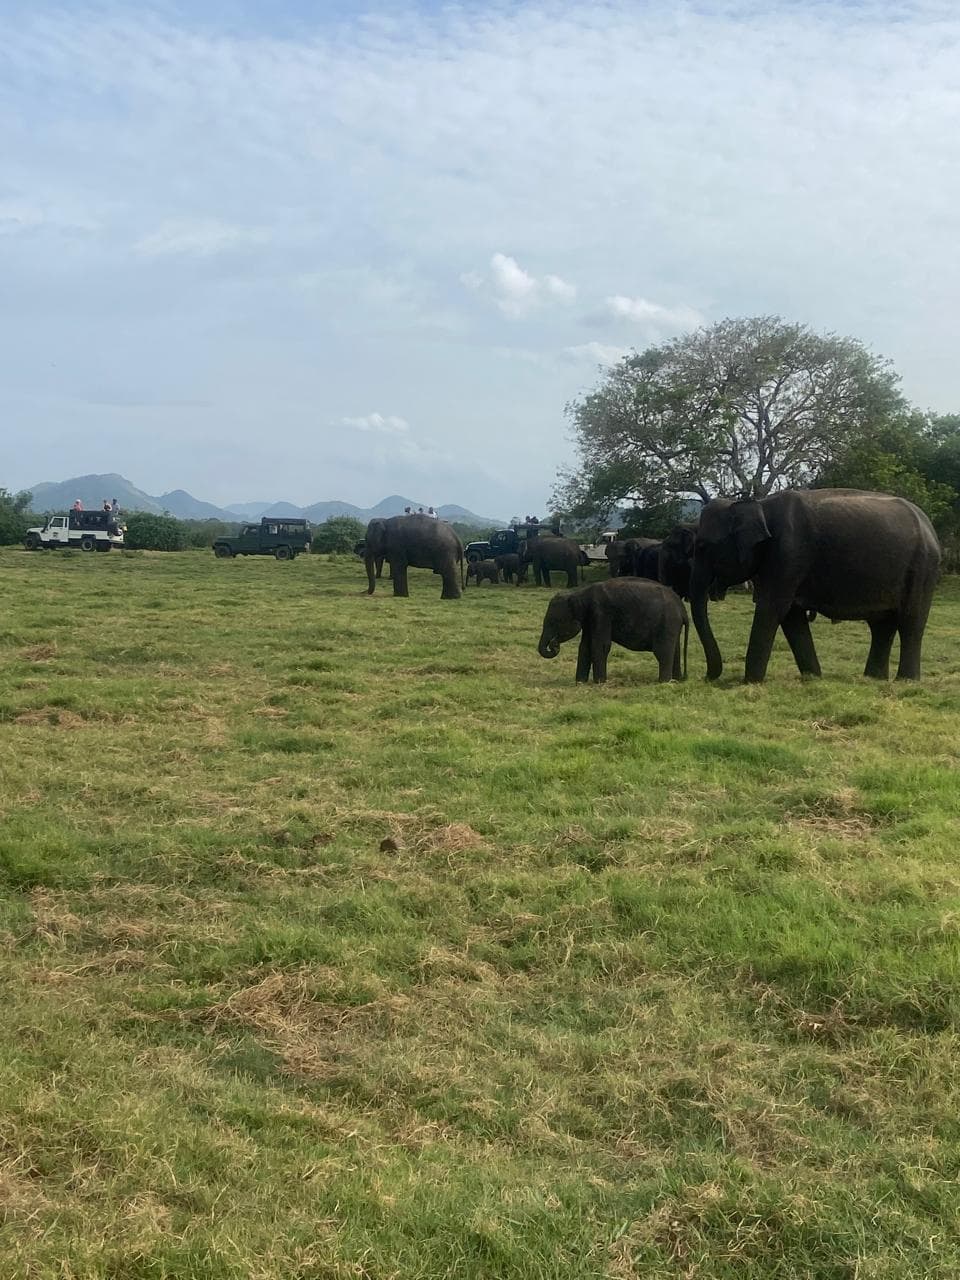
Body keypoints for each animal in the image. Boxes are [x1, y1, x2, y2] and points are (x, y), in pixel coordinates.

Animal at [538, 579, 688, 683]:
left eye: (553, 622)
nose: (554, 643)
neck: (579, 593)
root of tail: (682, 609)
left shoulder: (600, 614)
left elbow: (600, 645)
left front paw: (599, 683)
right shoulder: (590, 619)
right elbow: (585, 647)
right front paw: (580, 682)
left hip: (667, 623)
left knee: (662, 651)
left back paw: (663, 682)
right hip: (673, 625)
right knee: (675, 650)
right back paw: (676, 680)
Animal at [690, 489, 941, 683]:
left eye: (702, 546)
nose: (706, 677)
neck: (758, 504)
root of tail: (930, 526)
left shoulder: (789, 555)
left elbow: (772, 609)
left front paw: (750, 682)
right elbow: (792, 617)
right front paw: (812, 677)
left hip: (922, 569)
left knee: (911, 622)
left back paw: (906, 681)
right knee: (882, 625)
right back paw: (873, 679)